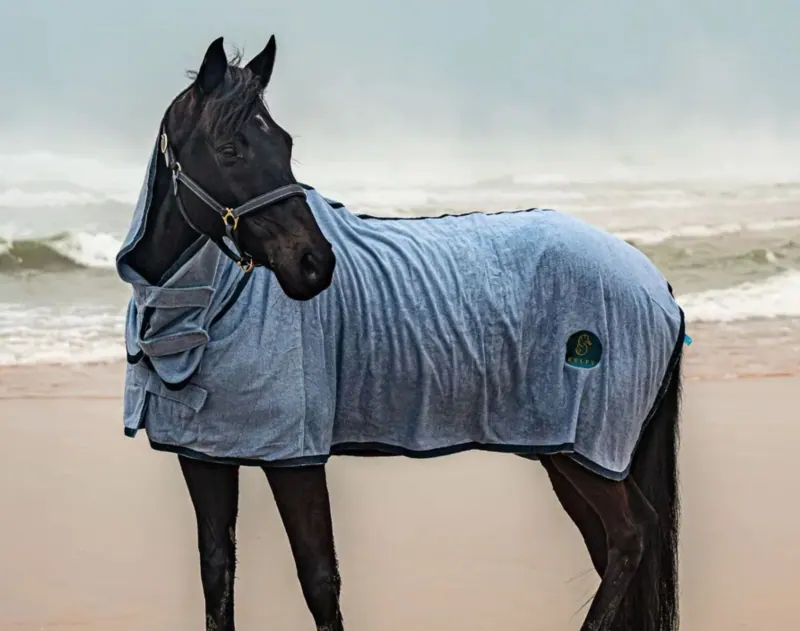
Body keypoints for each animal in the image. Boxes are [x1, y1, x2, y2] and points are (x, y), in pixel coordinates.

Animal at [115, 35, 684, 631]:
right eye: (229, 149)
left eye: (285, 145)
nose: (314, 264)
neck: (198, 309)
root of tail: (657, 284)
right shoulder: (204, 457)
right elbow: (217, 573)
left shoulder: (295, 457)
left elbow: (319, 579)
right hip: (566, 454)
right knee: (610, 546)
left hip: (588, 453)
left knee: (629, 537)